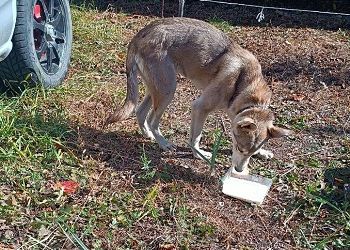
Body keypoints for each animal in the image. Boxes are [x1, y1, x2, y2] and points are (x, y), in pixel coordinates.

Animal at [105, 17, 292, 174]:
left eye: (251, 153)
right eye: (239, 148)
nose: (239, 171)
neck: (244, 84)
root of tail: (141, 33)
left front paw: (263, 152)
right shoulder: (200, 107)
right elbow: (196, 137)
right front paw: (198, 154)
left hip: (157, 90)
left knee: (140, 112)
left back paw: (148, 136)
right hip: (168, 90)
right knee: (152, 120)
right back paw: (164, 144)